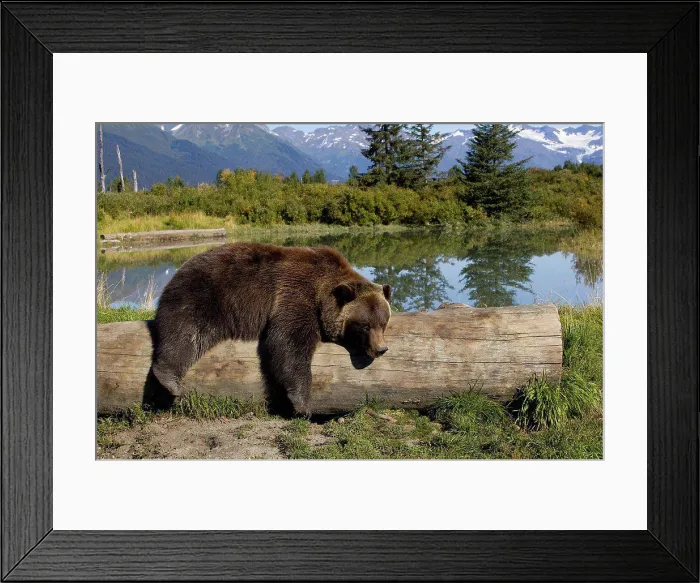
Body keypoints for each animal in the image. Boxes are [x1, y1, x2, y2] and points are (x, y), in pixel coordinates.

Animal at [151, 242, 392, 417]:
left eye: (384, 323)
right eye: (364, 326)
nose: (381, 349)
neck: (323, 294)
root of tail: (179, 269)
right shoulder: (296, 294)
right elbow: (288, 342)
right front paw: (302, 404)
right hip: (206, 295)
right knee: (186, 331)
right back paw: (169, 379)